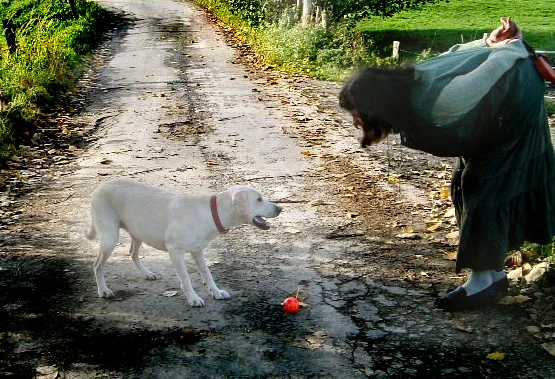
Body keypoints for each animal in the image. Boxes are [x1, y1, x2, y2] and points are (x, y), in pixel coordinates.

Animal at [86, 180, 282, 308]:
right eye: (259, 199)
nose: (280, 208)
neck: (212, 212)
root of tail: (98, 188)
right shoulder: (175, 252)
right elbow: (186, 279)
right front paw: (193, 298)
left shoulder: (198, 252)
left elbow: (208, 275)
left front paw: (216, 292)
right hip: (110, 238)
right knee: (97, 266)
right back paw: (103, 290)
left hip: (138, 233)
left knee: (132, 253)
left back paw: (146, 273)